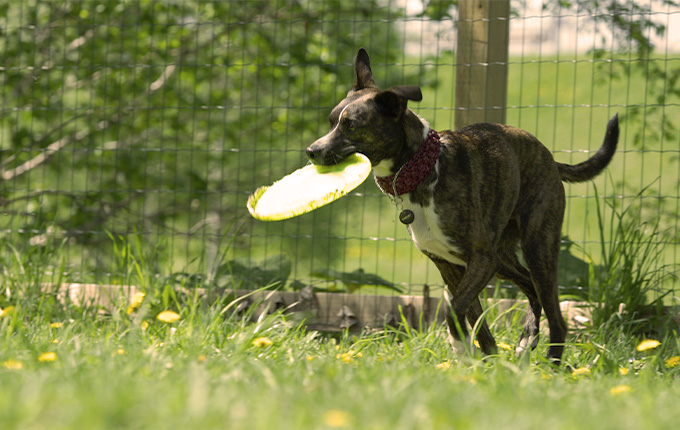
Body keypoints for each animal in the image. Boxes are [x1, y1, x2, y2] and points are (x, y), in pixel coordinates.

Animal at [306, 47, 620, 362]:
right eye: (332, 122)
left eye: (351, 126)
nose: (311, 151)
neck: (424, 169)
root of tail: (551, 160)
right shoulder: (452, 266)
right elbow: (474, 319)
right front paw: (487, 359)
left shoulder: (481, 260)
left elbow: (452, 308)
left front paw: (461, 347)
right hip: (503, 259)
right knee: (530, 287)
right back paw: (527, 338)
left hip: (537, 247)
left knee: (555, 314)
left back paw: (553, 364)